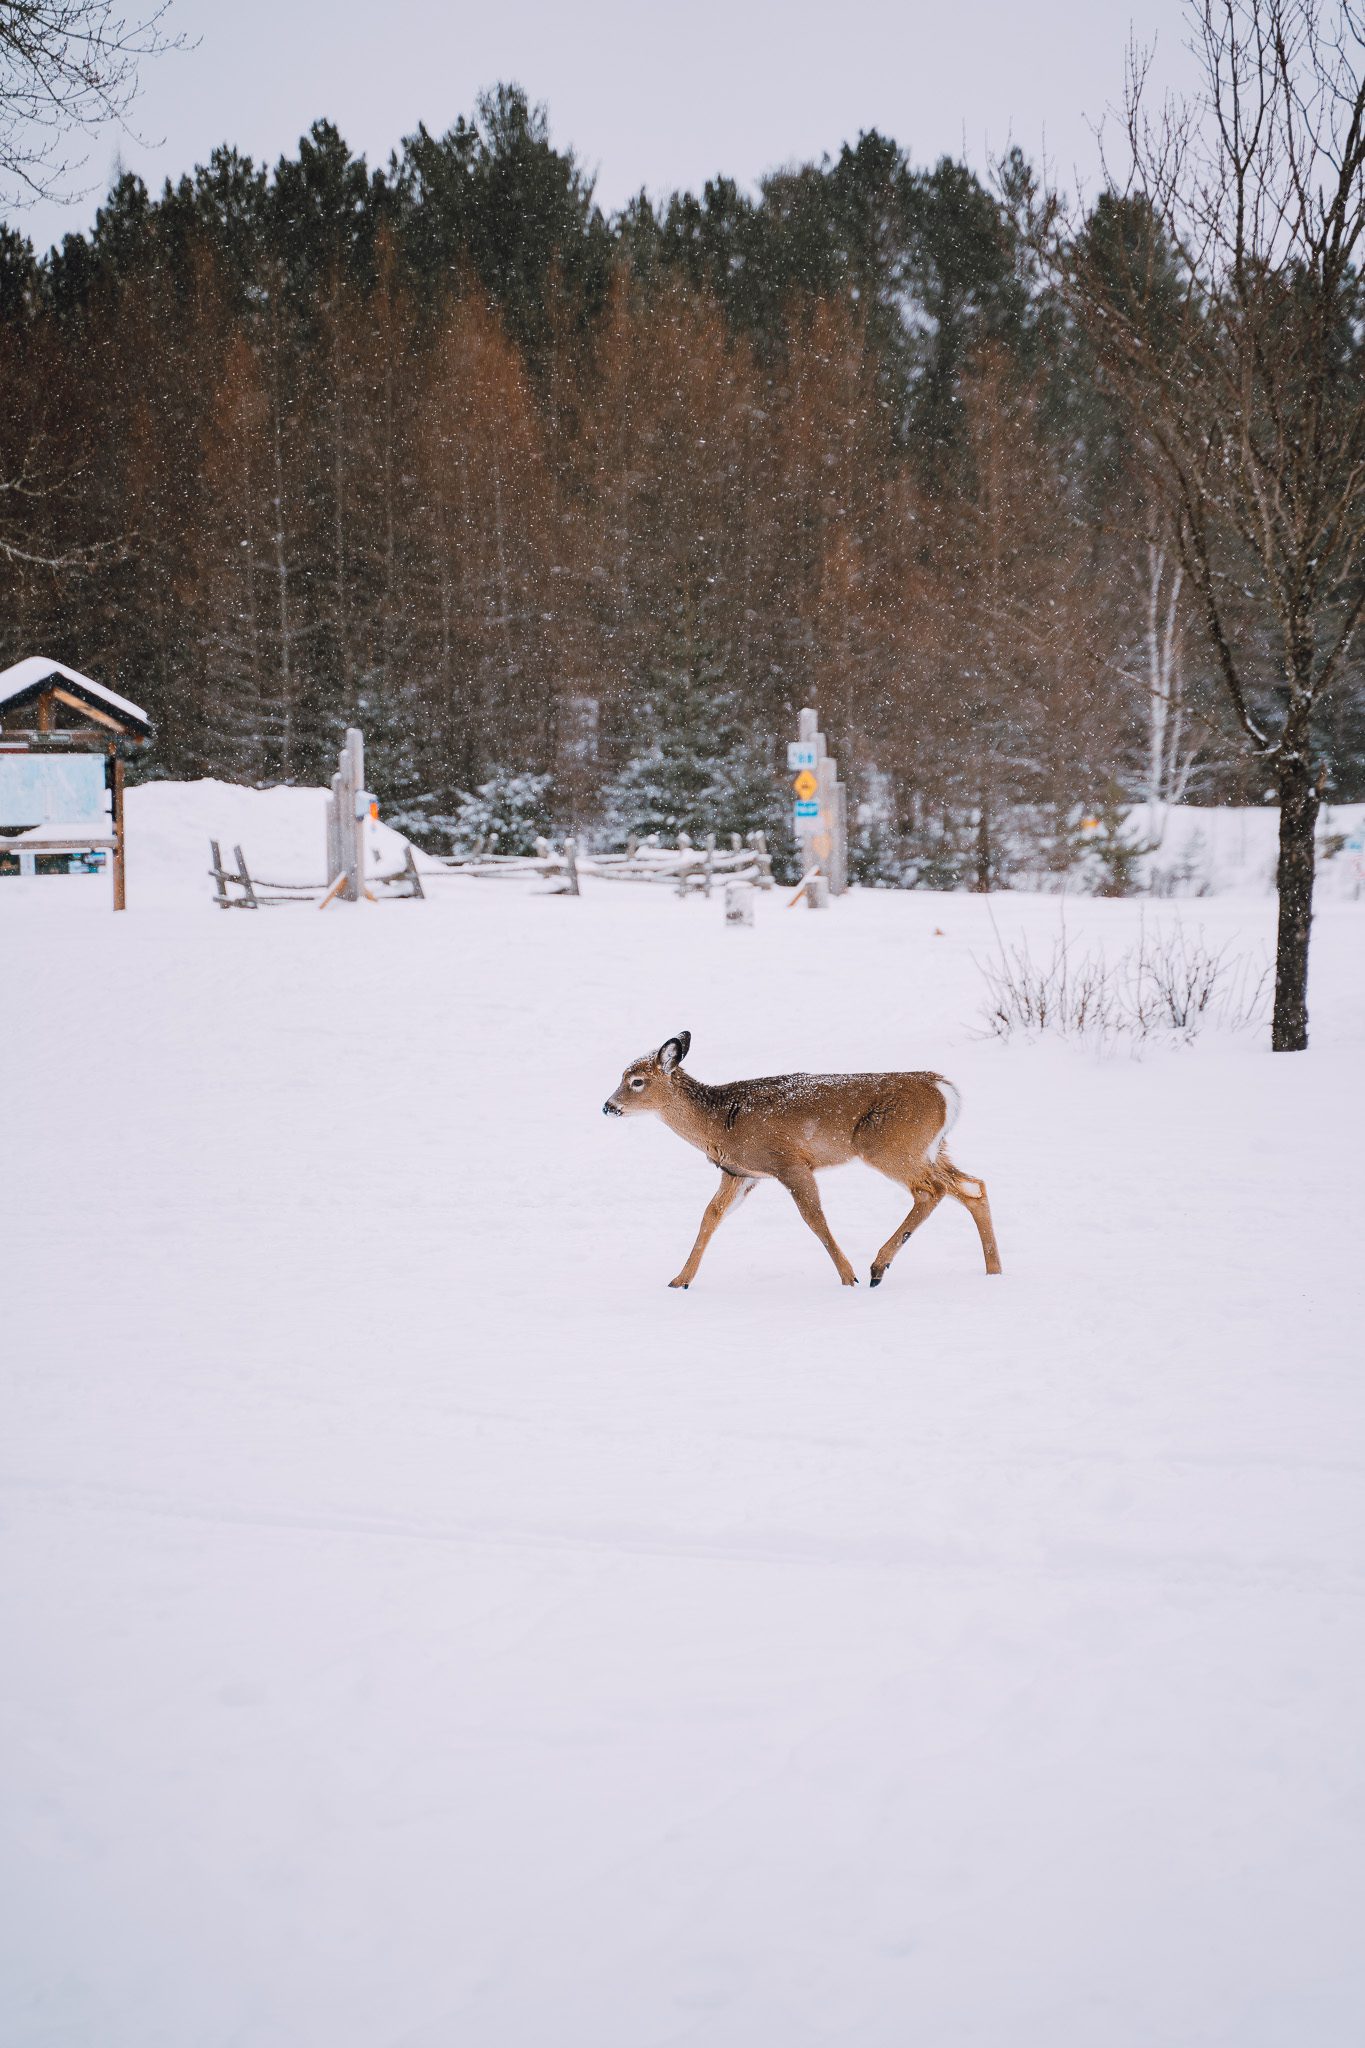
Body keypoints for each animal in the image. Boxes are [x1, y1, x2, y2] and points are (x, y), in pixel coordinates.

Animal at [601, 1032, 1002, 1286]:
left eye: (636, 1081)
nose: (608, 1106)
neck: (720, 1123)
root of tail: (945, 1090)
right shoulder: (740, 1172)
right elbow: (709, 1217)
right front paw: (680, 1280)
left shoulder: (788, 1161)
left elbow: (814, 1219)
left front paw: (848, 1277)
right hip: (931, 1148)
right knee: (972, 1186)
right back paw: (993, 1270)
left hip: (889, 1146)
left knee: (932, 1190)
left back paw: (877, 1267)